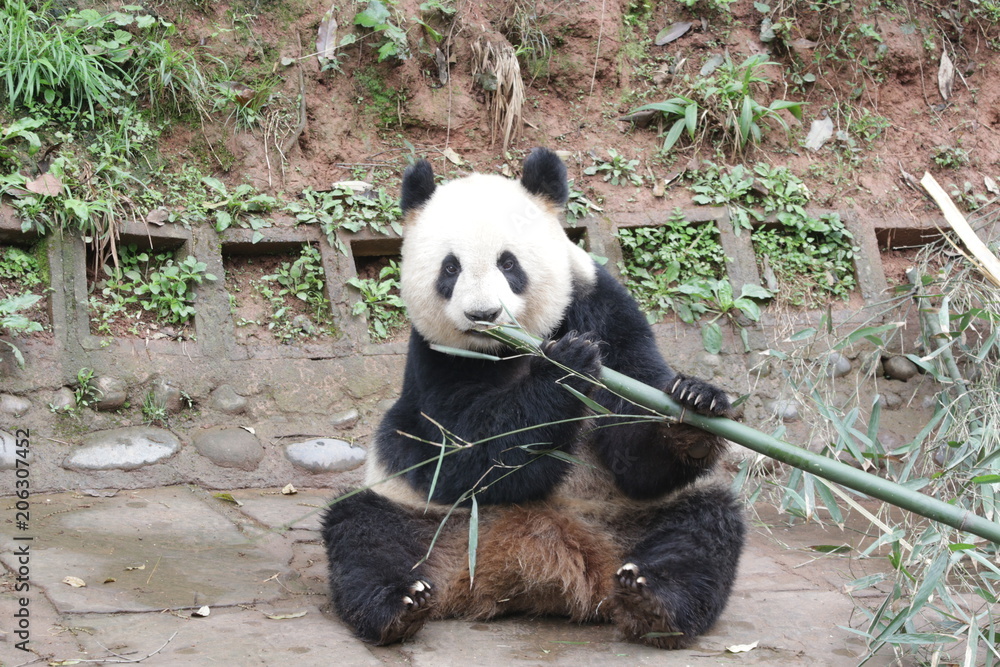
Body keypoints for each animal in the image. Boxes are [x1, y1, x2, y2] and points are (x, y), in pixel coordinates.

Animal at [322, 148, 745, 649]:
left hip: (628, 517)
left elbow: (634, 447)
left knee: (701, 533)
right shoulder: (434, 359)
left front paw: (692, 406)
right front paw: (563, 372)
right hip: (420, 513)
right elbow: (461, 454)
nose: (483, 315)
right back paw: (400, 604)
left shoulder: (600, 307)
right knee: (364, 535)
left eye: (509, 263)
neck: (510, 348)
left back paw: (653, 603)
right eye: (450, 268)